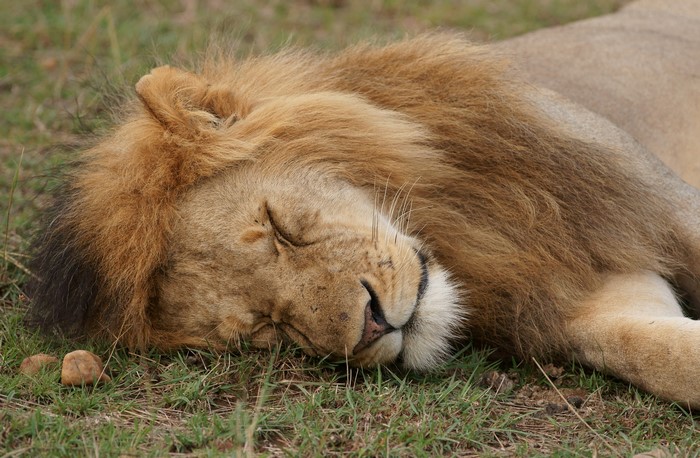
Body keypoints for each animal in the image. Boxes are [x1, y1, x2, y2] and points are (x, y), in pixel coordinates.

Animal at [28, 1, 700, 408]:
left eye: (280, 227)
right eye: (267, 327)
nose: (375, 324)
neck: (466, 232)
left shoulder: (662, 211)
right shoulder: (579, 308)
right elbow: (661, 355)